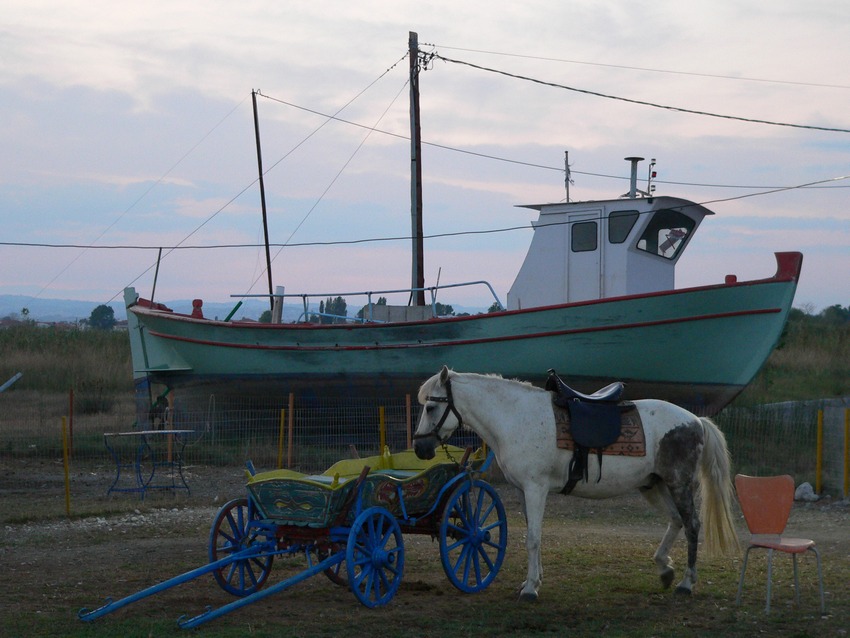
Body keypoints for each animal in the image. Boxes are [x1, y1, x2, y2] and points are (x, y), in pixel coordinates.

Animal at [410, 368, 736, 604]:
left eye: (430, 407)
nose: (420, 449)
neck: (515, 417)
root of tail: (695, 420)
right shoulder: (524, 491)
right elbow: (533, 534)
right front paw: (533, 580)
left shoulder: (535, 488)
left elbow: (533, 538)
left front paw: (530, 589)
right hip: (654, 486)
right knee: (675, 520)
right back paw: (665, 569)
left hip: (678, 483)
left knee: (691, 525)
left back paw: (686, 583)